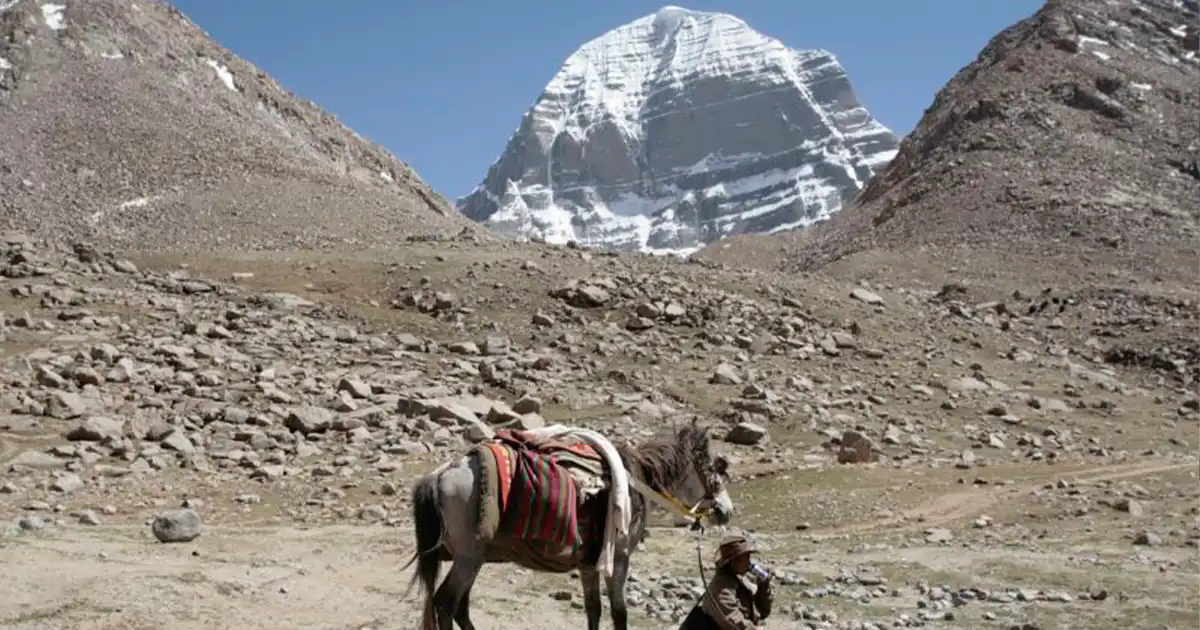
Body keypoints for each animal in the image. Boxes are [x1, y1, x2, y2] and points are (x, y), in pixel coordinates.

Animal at [403, 418, 735, 630]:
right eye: (715, 469)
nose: (727, 511)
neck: (636, 483)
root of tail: (440, 475)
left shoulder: (589, 563)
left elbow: (594, 610)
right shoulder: (619, 558)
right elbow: (620, 612)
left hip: (473, 558)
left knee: (459, 606)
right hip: (468, 558)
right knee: (445, 603)